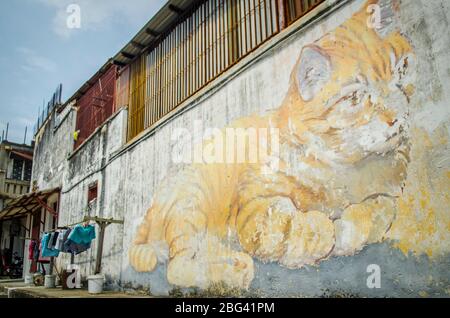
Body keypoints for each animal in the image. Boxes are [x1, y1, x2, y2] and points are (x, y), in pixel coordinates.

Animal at [128, 0, 416, 290]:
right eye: (355, 97)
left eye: (402, 69)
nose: (396, 116)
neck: (348, 167)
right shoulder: (255, 208)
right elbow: (307, 226)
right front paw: (329, 233)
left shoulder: (388, 195)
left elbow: (379, 209)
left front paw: (351, 223)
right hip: (192, 201)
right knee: (178, 267)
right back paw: (235, 270)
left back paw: (232, 258)